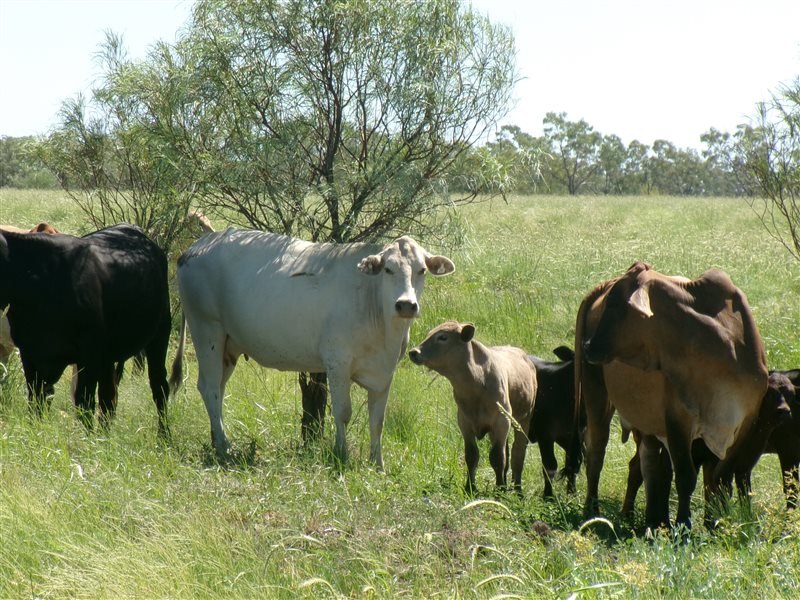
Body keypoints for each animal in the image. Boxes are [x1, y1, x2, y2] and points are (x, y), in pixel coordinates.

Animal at [0, 223, 174, 434]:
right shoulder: (31, 354)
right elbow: (38, 400)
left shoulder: (88, 357)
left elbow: (83, 403)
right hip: (108, 357)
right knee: (109, 396)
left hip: (160, 333)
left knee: (159, 387)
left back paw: (164, 436)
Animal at [172, 227, 454, 466]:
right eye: (388, 269)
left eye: (422, 270)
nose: (406, 304)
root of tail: (196, 247)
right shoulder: (337, 363)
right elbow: (343, 412)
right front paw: (342, 455)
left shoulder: (384, 372)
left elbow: (378, 421)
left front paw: (378, 464)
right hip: (207, 330)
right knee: (209, 388)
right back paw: (223, 445)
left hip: (228, 345)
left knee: (218, 389)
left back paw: (217, 438)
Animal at [406, 322, 536, 494]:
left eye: (443, 337)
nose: (414, 352)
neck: (478, 382)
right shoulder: (465, 423)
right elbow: (472, 456)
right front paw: (470, 488)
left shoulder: (501, 422)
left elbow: (497, 457)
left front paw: (499, 489)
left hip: (523, 420)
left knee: (517, 454)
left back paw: (518, 489)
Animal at [580, 260, 772, 532]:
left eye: (616, 304)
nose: (588, 345)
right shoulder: (678, 420)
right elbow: (685, 477)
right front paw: (684, 525)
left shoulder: (745, 421)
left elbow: (719, 477)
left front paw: (714, 523)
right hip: (596, 395)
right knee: (596, 451)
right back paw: (592, 511)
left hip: (648, 421)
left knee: (648, 464)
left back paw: (650, 519)